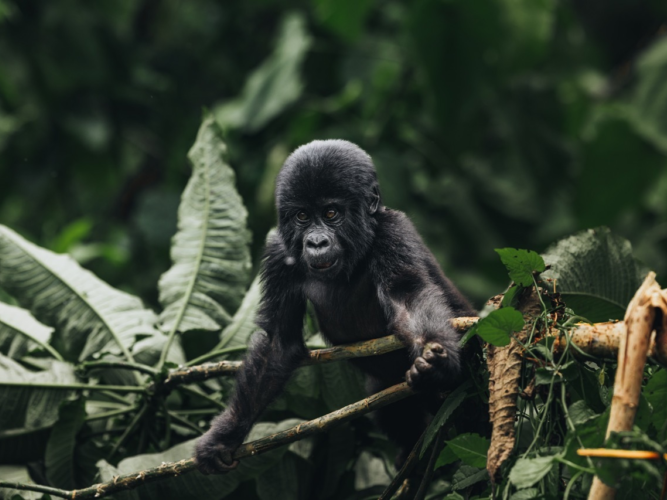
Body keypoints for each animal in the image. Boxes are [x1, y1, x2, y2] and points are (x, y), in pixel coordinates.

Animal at [194, 140, 475, 474]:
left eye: (331, 213)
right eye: (302, 216)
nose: (316, 243)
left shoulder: (394, 232)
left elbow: (409, 298)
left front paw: (436, 363)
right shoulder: (278, 252)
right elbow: (279, 344)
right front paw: (224, 436)